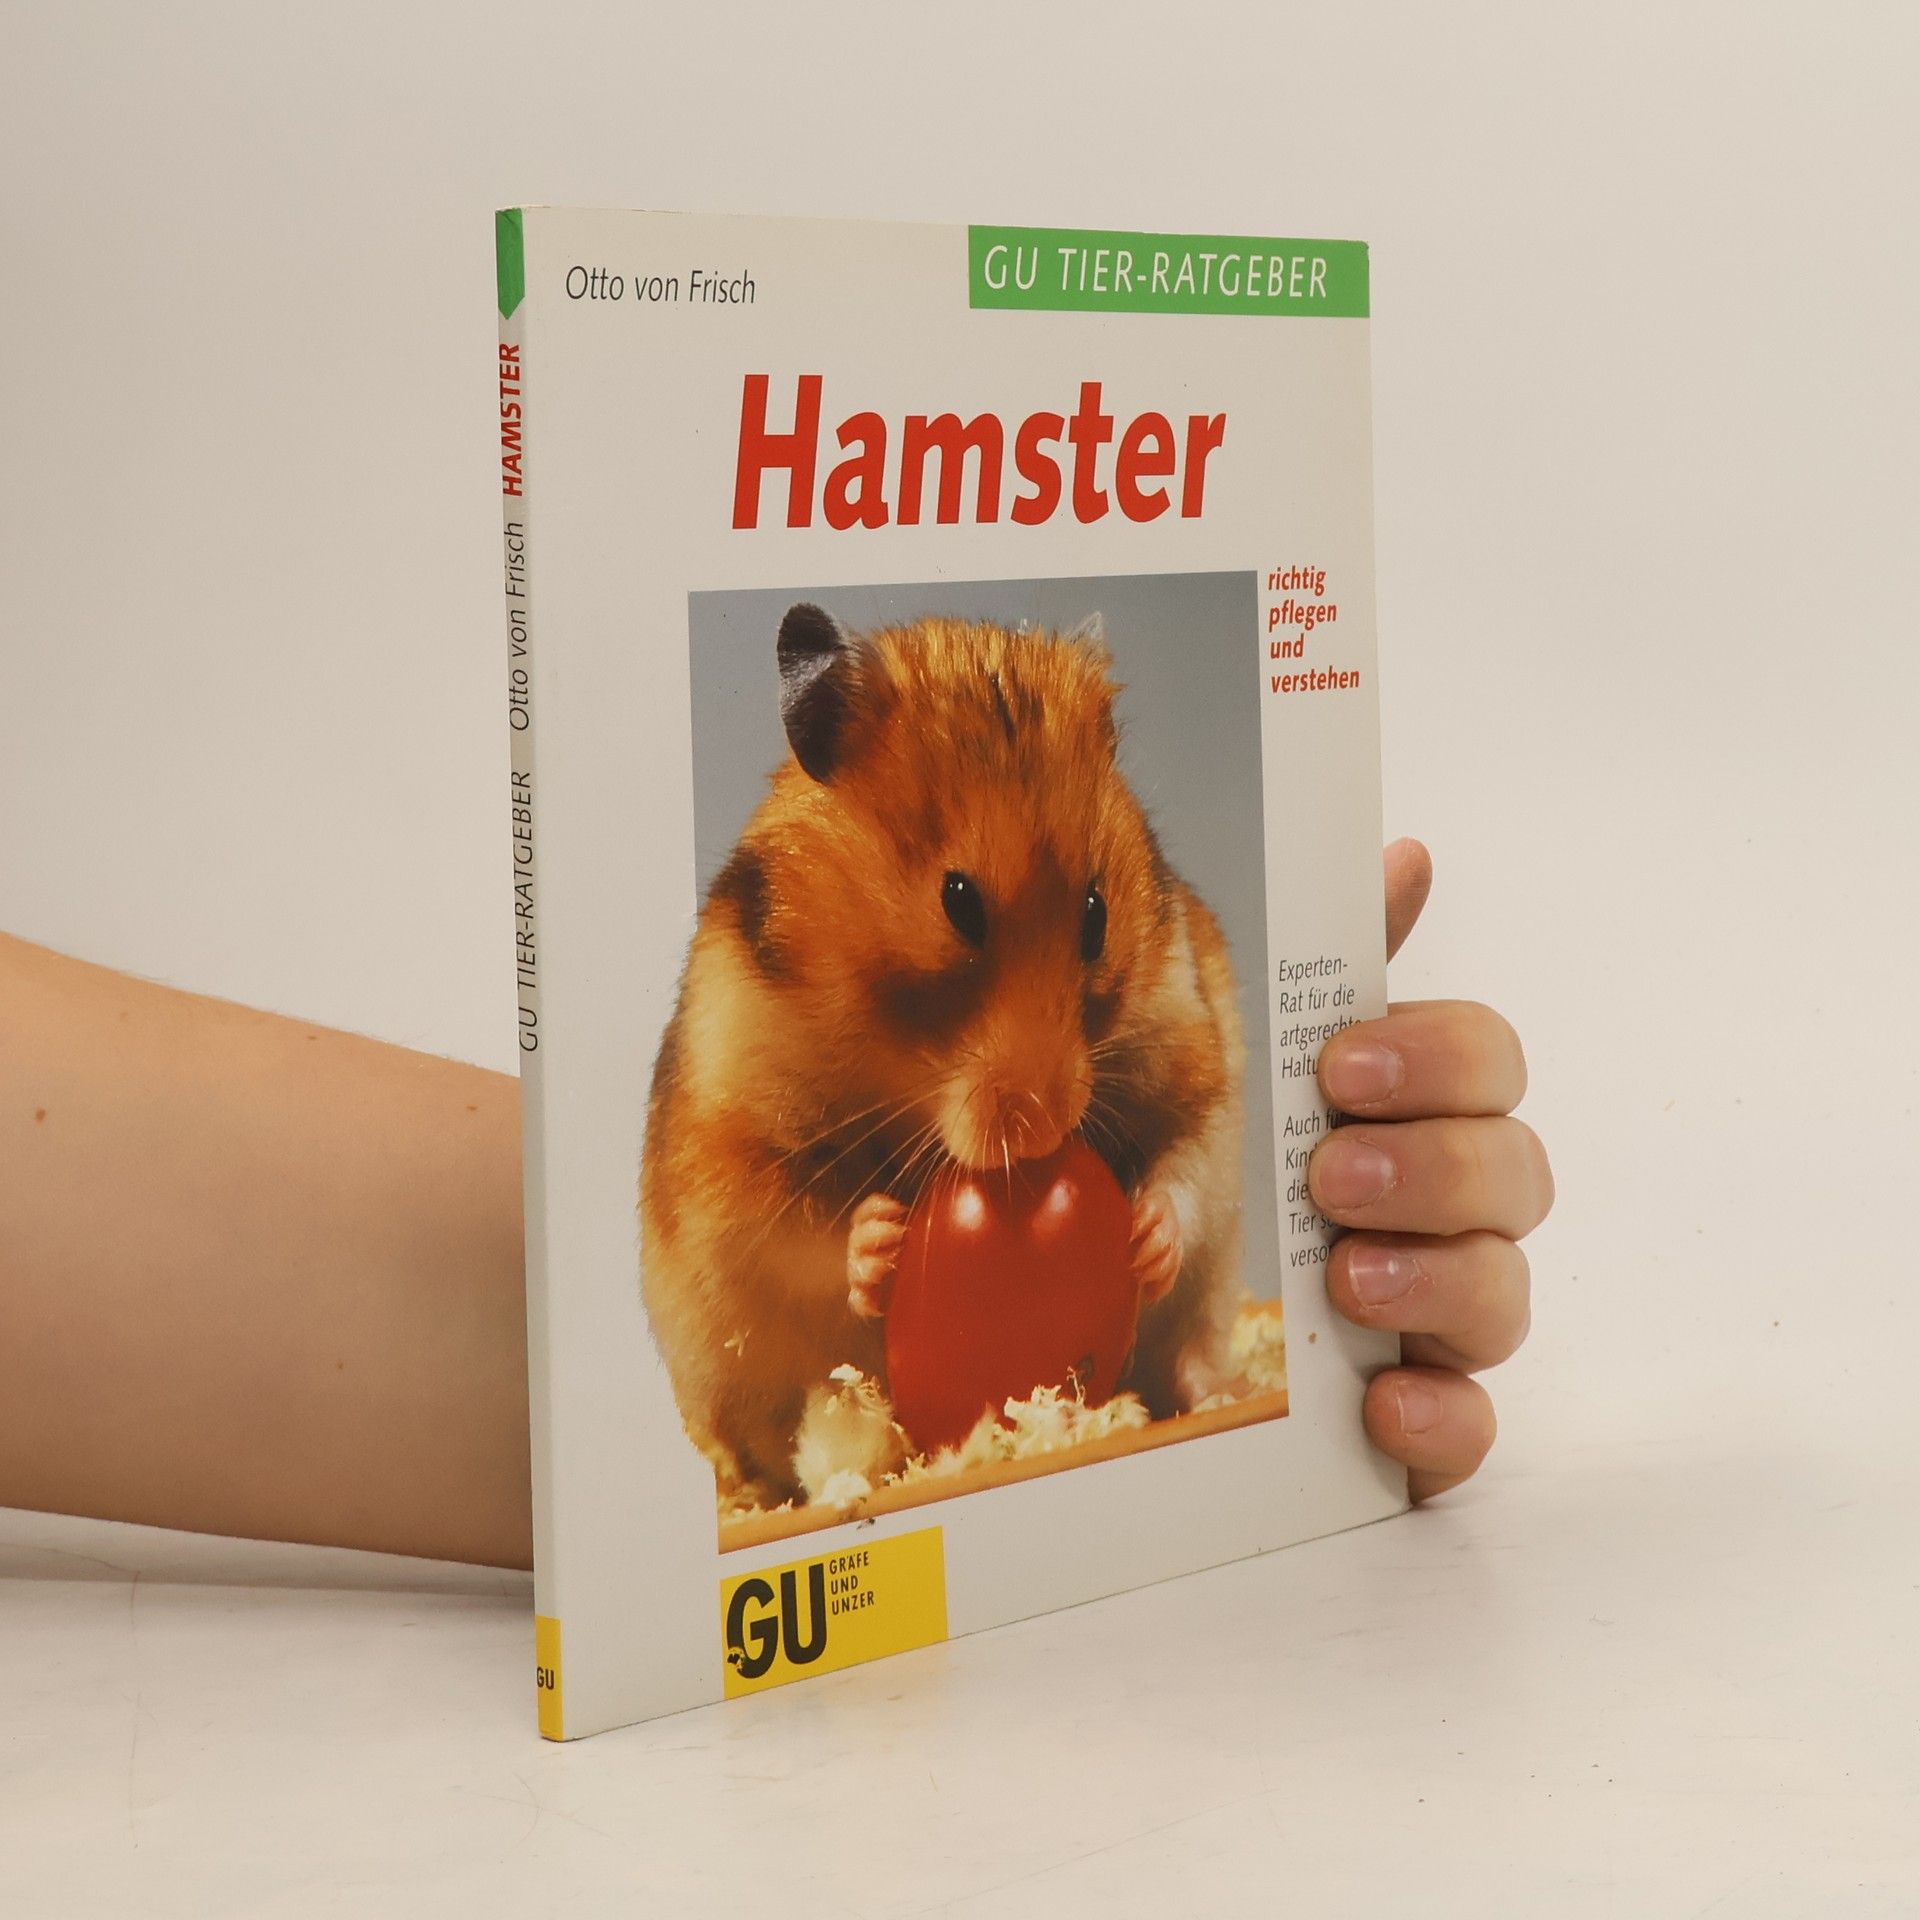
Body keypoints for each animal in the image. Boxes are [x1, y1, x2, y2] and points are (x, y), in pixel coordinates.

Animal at [640, 603, 1247, 1504]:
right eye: (958, 902)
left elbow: (1184, 1168)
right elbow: (798, 1232)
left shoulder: (1193, 1050)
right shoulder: (728, 1152)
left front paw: (1142, 1237)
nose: (1043, 1130)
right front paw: (882, 1239)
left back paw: (1220, 1391)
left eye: (1097, 914)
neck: (899, 1066)